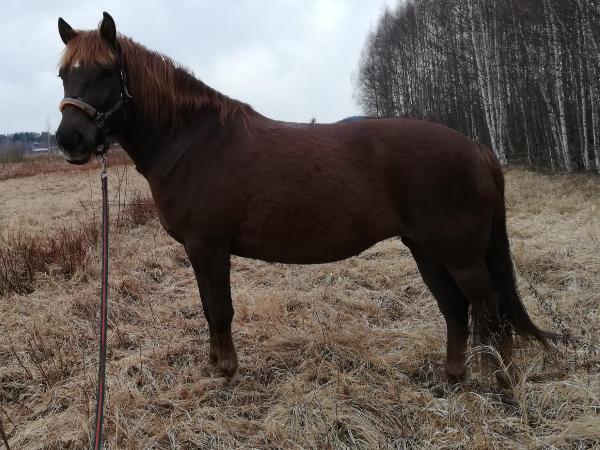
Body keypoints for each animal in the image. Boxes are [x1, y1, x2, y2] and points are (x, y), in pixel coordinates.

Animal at [55, 12, 547, 386]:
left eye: (106, 72)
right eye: (63, 74)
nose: (69, 140)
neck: (194, 142)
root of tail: (478, 148)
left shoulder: (209, 247)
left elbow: (220, 309)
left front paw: (227, 372)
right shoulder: (200, 251)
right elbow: (208, 308)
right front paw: (215, 365)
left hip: (459, 253)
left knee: (489, 307)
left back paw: (502, 382)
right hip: (425, 248)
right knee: (455, 306)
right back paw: (453, 378)